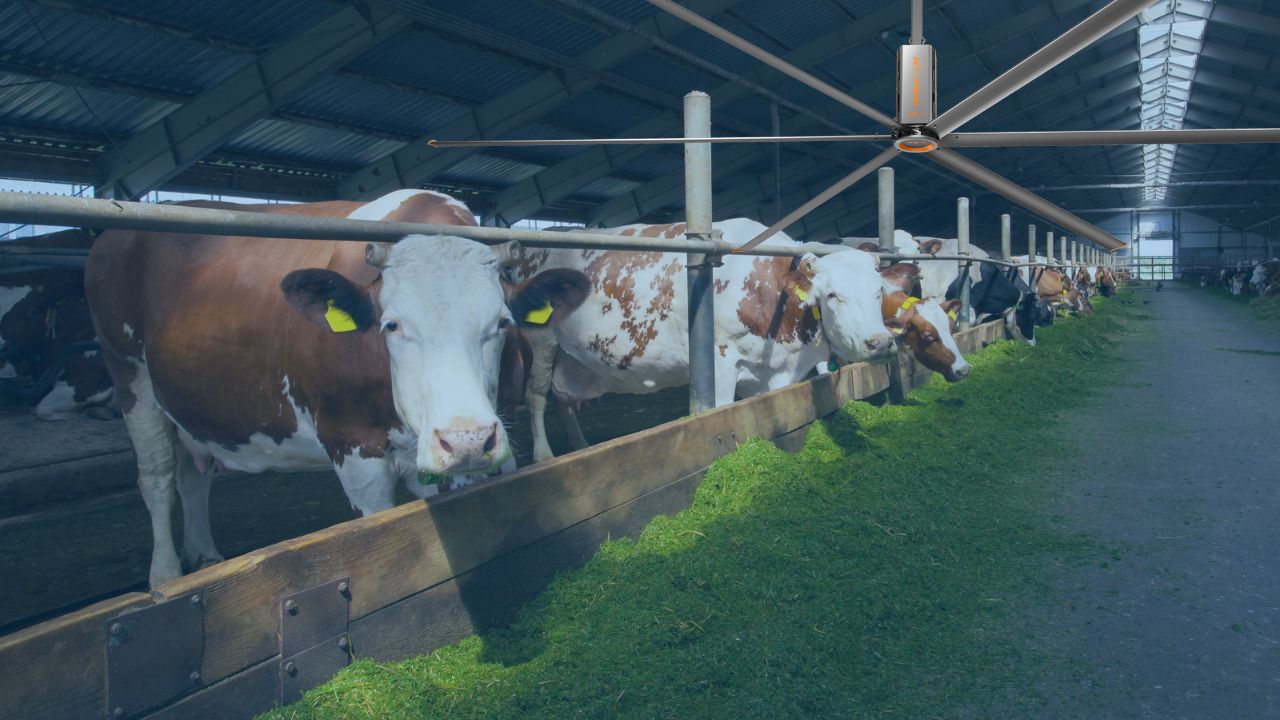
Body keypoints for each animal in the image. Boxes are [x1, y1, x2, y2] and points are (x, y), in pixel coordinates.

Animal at [85, 189, 590, 587]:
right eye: (391, 325)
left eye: (502, 322)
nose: (465, 439)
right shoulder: (354, 447)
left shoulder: (497, 437)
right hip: (127, 372)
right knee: (157, 478)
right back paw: (166, 576)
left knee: (195, 474)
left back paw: (204, 555)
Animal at [503, 218, 902, 463]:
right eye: (832, 295)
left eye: (878, 291)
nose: (880, 343)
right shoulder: (720, 360)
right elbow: (720, 413)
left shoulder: (776, 370)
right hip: (541, 340)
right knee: (537, 396)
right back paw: (545, 455)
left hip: (569, 357)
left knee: (563, 398)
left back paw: (580, 446)